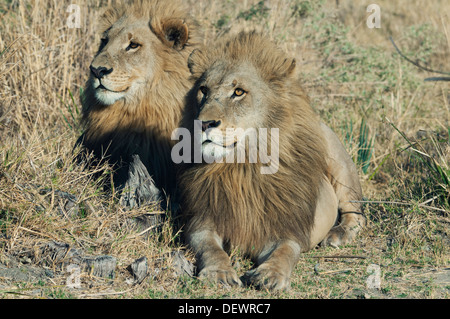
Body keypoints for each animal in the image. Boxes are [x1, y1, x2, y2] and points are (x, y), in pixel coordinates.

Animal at [179, 31, 366, 292]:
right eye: (203, 90)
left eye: (239, 92)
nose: (204, 123)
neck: (242, 167)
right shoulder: (202, 221)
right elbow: (210, 248)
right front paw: (219, 273)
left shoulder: (285, 228)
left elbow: (285, 252)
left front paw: (270, 275)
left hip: (340, 163)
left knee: (357, 213)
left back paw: (337, 234)